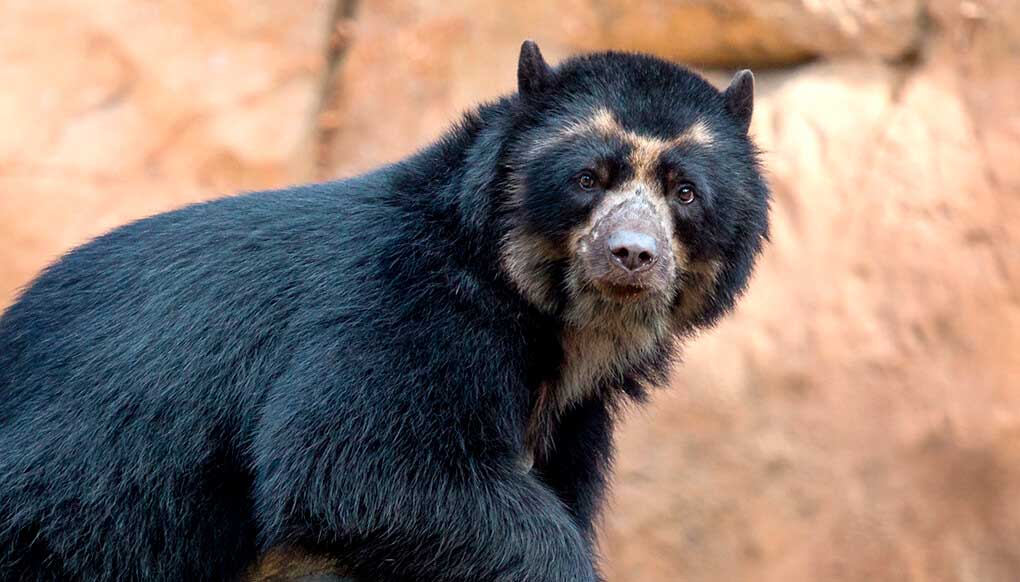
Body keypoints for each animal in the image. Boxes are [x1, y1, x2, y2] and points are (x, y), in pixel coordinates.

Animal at [0, 40, 769, 582]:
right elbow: (361, 467)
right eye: (587, 179)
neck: (555, 323)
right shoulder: (404, 308)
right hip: (68, 516)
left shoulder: (575, 422)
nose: (631, 254)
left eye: (684, 192)